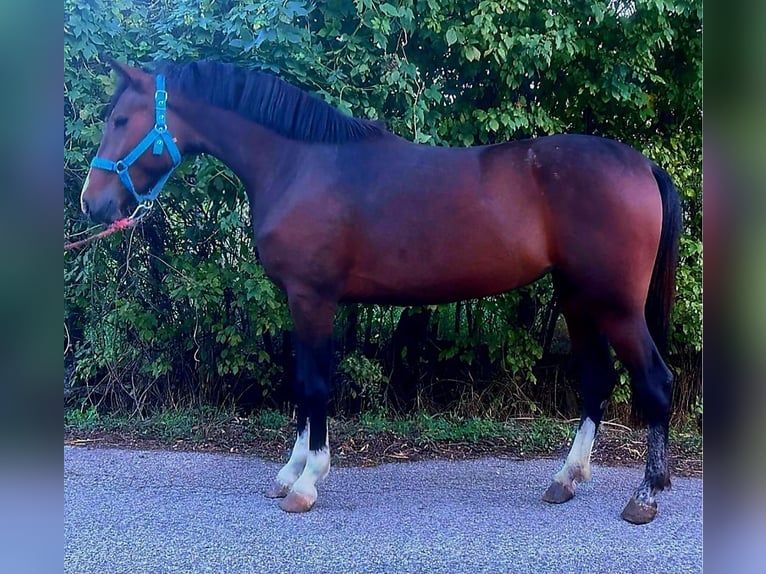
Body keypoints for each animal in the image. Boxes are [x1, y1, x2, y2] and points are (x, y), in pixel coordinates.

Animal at [81, 60, 684, 524]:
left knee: (655, 382)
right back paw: (566, 478)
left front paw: (308, 482)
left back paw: (645, 495)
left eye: (120, 118)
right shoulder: (302, 302)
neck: (297, 163)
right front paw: (289, 473)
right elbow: (300, 385)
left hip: (617, 306)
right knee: (596, 379)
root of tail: (644, 165)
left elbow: (314, 386)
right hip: (578, 298)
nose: (93, 203)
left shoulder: (312, 299)